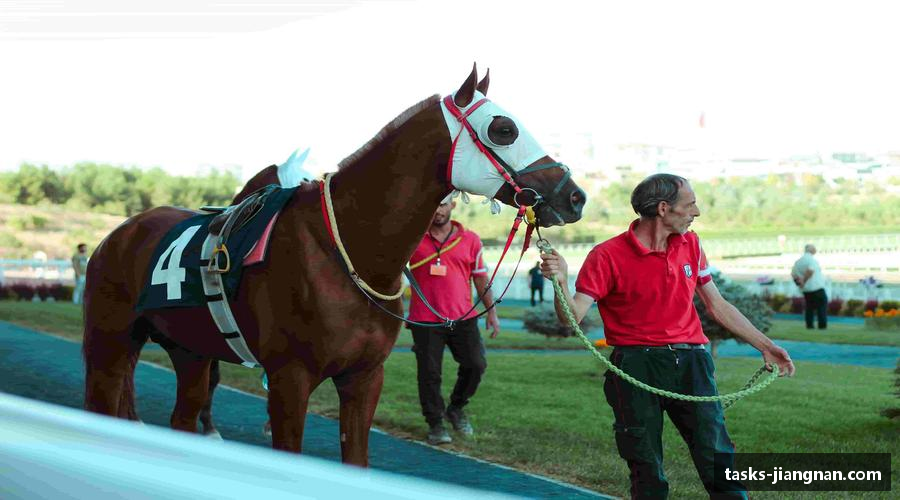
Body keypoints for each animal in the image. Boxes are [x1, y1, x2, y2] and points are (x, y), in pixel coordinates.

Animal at [82, 65, 584, 464]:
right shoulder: (289, 378)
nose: (573, 195)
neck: (345, 250)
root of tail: (121, 232)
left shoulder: (364, 378)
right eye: (503, 129)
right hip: (109, 344)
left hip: (191, 351)